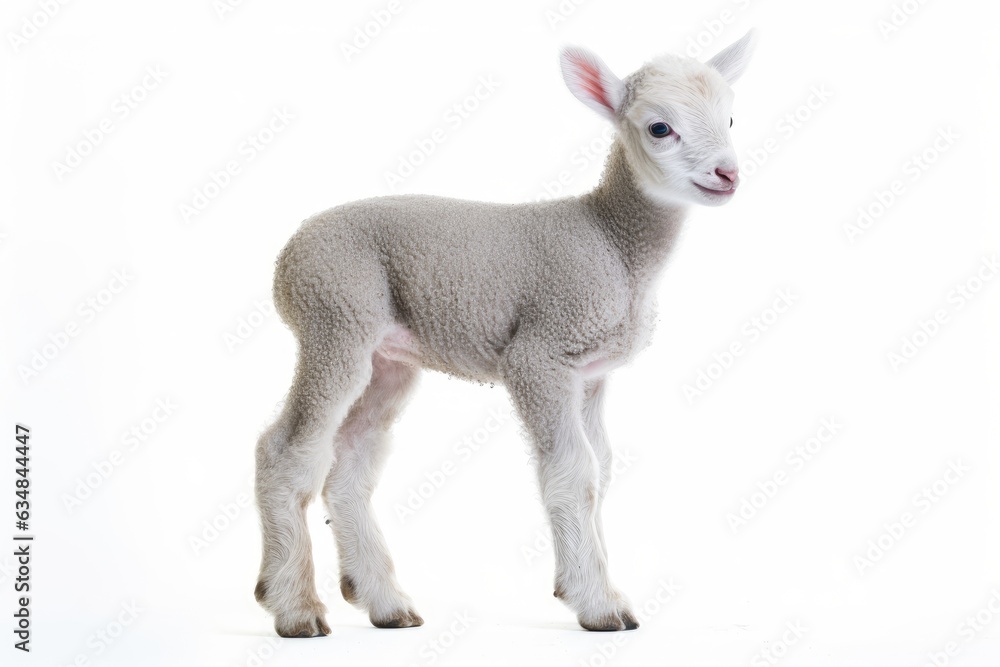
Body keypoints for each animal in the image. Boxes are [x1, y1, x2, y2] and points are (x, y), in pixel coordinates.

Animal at [253, 31, 757, 637]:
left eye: (730, 118)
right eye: (660, 127)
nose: (728, 175)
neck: (612, 240)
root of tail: (287, 256)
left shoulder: (591, 374)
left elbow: (603, 468)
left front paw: (592, 582)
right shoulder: (541, 354)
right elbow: (574, 473)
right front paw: (599, 604)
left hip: (386, 357)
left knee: (349, 463)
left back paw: (386, 603)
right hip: (334, 316)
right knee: (287, 450)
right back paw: (294, 607)